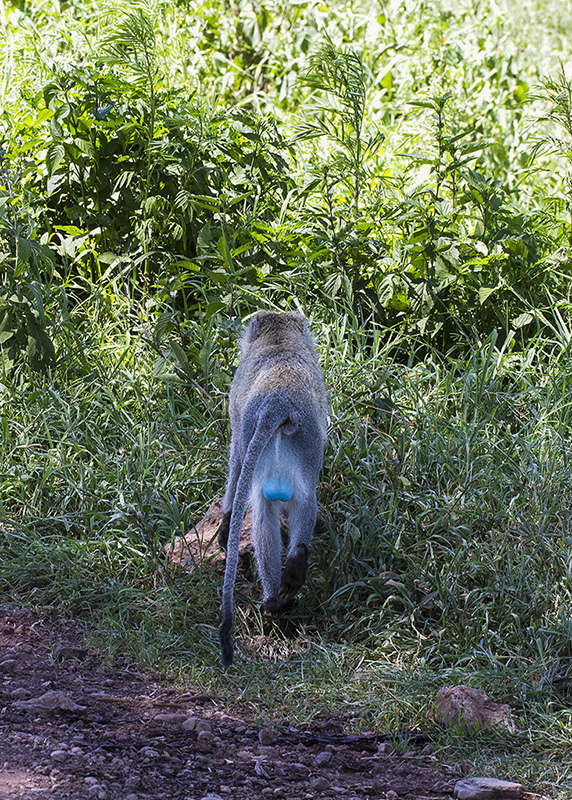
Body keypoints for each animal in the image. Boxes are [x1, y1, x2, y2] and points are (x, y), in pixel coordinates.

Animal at [218, 310, 326, 664]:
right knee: (299, 501)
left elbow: (236, 464)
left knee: (269, 504)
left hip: (284, 441)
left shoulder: (239, 419)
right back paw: (285, 587)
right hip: (306, 444)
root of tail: (278, 403)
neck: (278, 341)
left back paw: (277, 597)